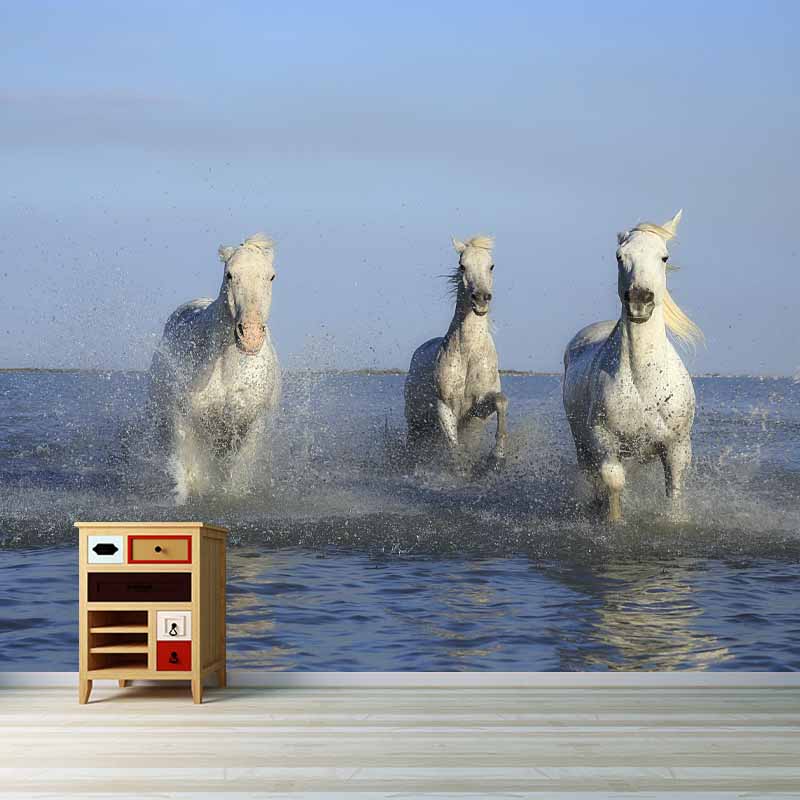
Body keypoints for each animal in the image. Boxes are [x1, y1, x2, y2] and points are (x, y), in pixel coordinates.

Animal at [147, 233, 281, 503]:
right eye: (229, 274)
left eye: (271, 276)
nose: (250, 335)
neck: (226, 367)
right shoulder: (184, 417)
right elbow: (188, 472)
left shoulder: (252, 424)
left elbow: (236, 472)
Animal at [404, 235, 508, 474]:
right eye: (462, 265)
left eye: (491, 265)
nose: (481, 298)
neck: (469, 354)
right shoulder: (444, 406)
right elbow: (453, 446)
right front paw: (461, 467)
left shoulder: (478, 409)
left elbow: (501, 401)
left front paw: (497, 457)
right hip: (415, 423)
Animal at [562, 210, 702, 522]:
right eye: (619, 256)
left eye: (664, 257)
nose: (640, 300)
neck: (644, 381)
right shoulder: (604, 441)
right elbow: (613, 482)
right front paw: (614, 521)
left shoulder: (677, 447)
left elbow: (674, 492)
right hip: (581, 443)